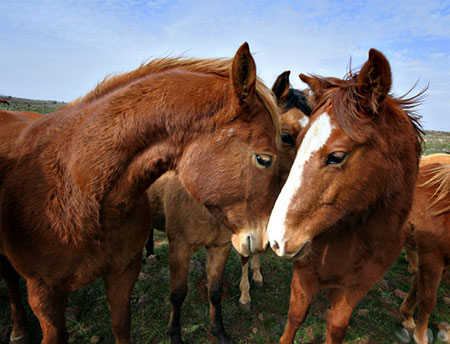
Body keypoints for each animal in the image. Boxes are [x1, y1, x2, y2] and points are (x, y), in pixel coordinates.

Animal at [0, 43, 282, 344]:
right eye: (264, 159)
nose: (266, 241)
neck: (79, 189)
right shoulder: (44, 293)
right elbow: (177, 294)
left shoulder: (127, 273)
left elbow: (206, 295)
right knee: (9, 280)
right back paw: (18, 330)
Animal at [268, 49, 426, 344]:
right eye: (296, 141)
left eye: (337, 156)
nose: (276, 240)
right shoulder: (304, 273)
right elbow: (295, 315)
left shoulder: (355, 288)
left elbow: (337, 327)